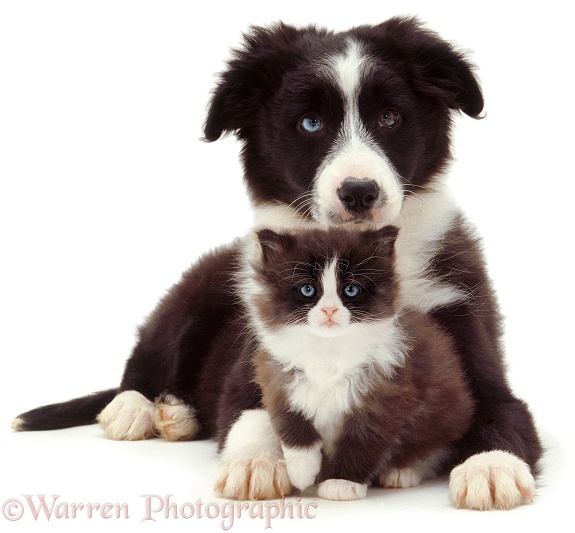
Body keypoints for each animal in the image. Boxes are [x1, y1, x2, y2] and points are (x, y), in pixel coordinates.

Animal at [217, 227, 476, 500]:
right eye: (307, 290)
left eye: (351, 290)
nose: (329, 310)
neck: (328, 350)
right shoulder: (277, 377)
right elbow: (291, 425)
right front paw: (302, 471)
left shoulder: (385, 395)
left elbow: (361, 442)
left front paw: (342, 482)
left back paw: (401, 472)